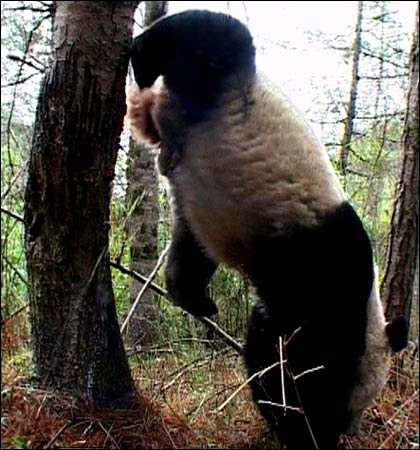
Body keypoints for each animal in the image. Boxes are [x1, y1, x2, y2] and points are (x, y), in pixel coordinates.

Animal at [124, 8, 406, 448]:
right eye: (360, 403)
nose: (355, 428)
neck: (368, 315)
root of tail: (158, 110)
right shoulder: (327, 284)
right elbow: (302, 365)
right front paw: (307, 426)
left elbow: (265, 344)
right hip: (226, 78)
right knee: (214, 35)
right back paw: (142, 56)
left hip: (194, 209)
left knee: (192, 251)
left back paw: (195, 299)